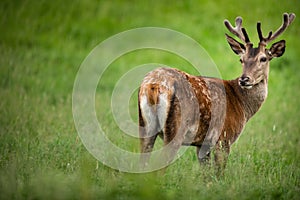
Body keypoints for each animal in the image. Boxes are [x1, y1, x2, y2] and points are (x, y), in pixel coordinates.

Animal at [138, 13, 296, 173]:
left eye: (263, 59)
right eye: (241, 59)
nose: (244, 79)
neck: (242, 105)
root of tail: (153, 85)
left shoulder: (202, 144)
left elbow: (206, 175)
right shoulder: (224, 138)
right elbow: (219, 173)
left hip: (145, 126)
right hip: (175, 128)